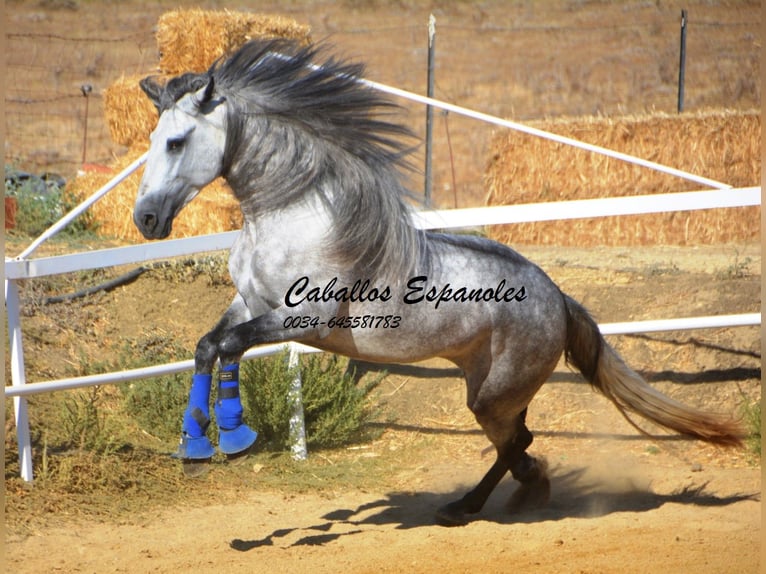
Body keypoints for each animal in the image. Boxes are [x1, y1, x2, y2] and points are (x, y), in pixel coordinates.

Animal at [136, 39, 744, 528]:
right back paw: (489, 501)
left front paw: (236, 439)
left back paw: (493, 502)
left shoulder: (299, 320)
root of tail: (559, 299)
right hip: (490, 388)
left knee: (517, 444)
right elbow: (209, 346)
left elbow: (230, 347)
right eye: (152, 139)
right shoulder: (248, 303)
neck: (294, 216)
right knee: (518, 442)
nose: (145, 219)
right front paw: (195, 450)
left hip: (495, 394)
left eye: (176, 141)